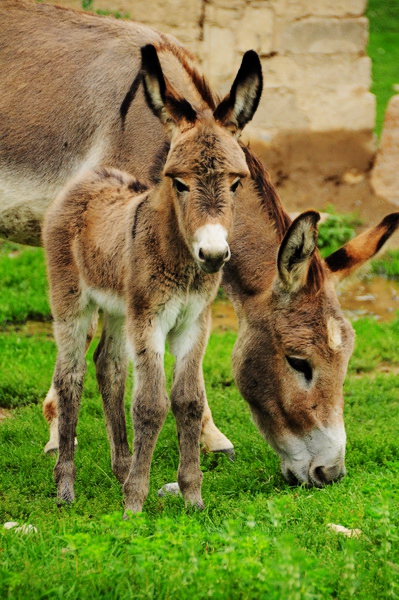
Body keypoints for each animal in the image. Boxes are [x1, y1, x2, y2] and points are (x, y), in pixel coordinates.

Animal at [43, 44, 262, 512]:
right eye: (178, 182)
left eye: (236, 184)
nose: (213, 254)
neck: (180, 261)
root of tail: (89, 178)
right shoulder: (150, 321)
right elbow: (150, 404)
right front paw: (134, 505)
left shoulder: (194, 323)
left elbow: (188, 402)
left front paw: (192, 497)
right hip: (72, 303)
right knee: (70, 377)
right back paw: (66, 487)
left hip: (117, 308)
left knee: (108, 368)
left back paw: (121, 468)